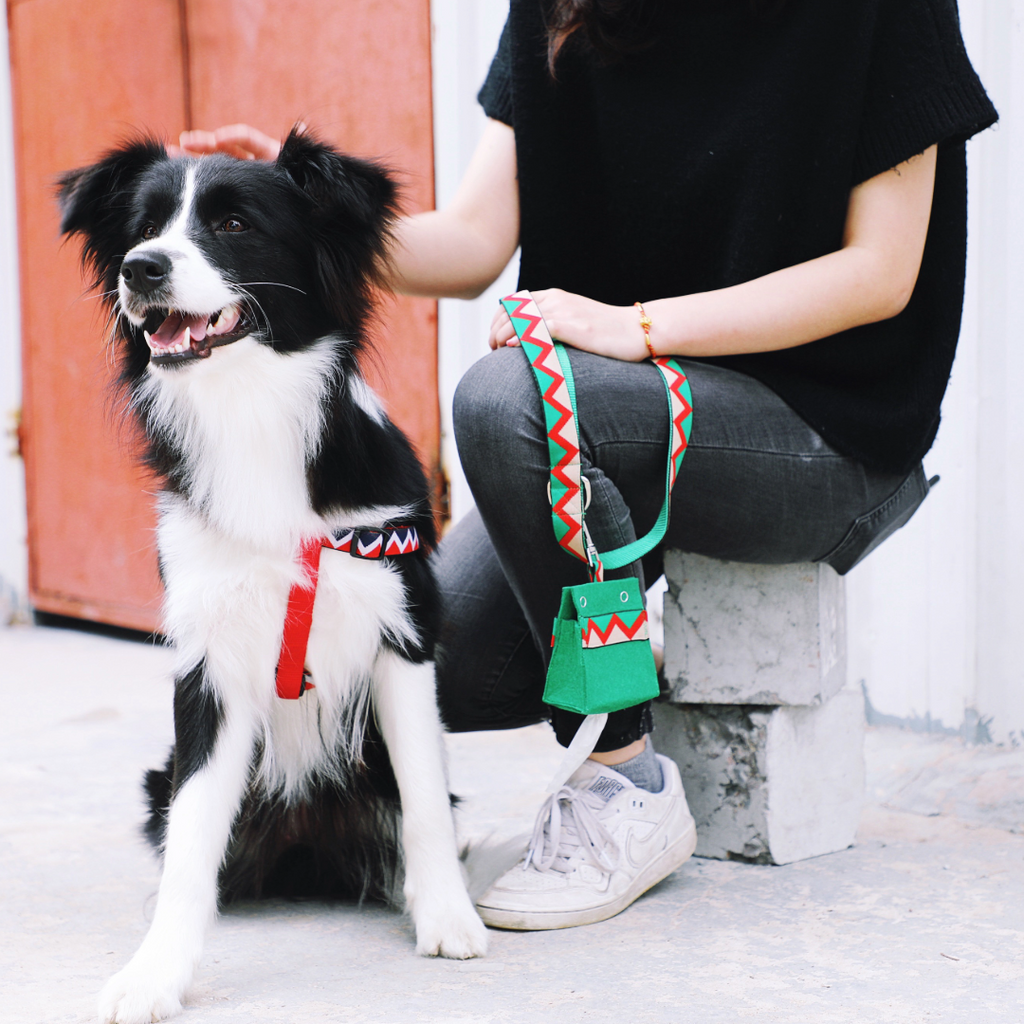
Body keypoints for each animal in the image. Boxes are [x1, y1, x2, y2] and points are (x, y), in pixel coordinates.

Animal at [58, 130, 487, 1024]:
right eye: (142, 228)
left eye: (232, 223)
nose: (141, 269)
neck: (250, 412)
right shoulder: (209, 662)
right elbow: (192, 841)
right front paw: (155, 974)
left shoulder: (402, 633)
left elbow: (425, 799)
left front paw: (448, 916)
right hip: (159, 774)